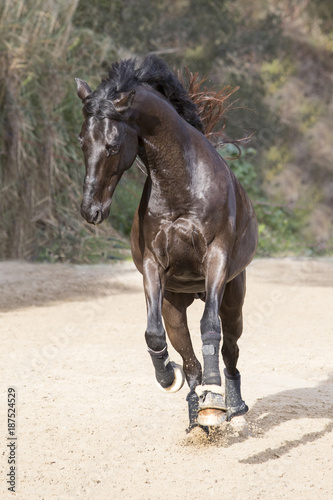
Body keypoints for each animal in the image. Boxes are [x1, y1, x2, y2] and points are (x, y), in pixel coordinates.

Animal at [75, 53, 256, 430]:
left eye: (113, 145)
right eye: (83, 141)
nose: (91, 210)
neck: (182, 187)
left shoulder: (216, 258)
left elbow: (210, 328)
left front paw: (215, 400)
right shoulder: (152, 266)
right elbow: (154, 335)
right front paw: (168, 378)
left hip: (234, 298)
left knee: (230, 349)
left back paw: (231, 406)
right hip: (176, 305)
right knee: (189, 359)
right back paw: (197, 415)